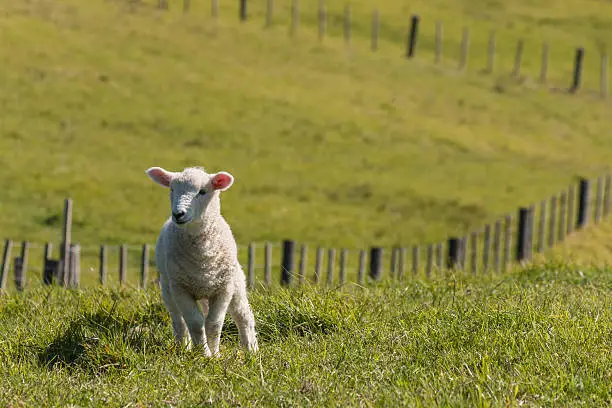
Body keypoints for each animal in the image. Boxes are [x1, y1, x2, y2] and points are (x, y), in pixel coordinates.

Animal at [146, 164, 258, 356]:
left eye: (202, 192)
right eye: (172, 189)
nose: (178, 214)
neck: (203, 258)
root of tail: (204, 278)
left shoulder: (224, 289)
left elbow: (214, 323)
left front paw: (215, 355)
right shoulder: (181, 289)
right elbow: (196, 323)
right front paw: (203, 354)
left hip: (235, 283)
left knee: (243, 314)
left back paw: (251, 349)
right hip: (168, 289)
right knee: (179, 320)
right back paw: (183, 346)